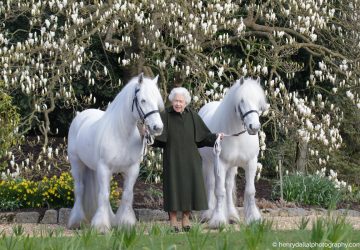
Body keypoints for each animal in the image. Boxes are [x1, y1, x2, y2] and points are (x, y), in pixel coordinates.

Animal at [67, 73, 164, 232]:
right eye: (143, 100)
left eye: (157, 101)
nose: (158, 127)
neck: (122, 134)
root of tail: (82, 115)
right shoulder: (104, 168)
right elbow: (104, 195)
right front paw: (101, 226)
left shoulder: (132, 170)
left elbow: (127, 195)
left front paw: (125, 223)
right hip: (77, 164)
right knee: (80, 189)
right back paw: (77, 221)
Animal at [200, 77, 268, 228]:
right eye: (242, 100)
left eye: (259, 102)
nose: (254, 127)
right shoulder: (219, 164)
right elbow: (219, 192)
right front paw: (218, 220)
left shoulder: (251, 163)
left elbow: (250, 191)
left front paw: (253, 218)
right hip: (208, 163)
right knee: (210, 185)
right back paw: (208, 214)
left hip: (232, 167)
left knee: (229, 184)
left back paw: (232, 216)